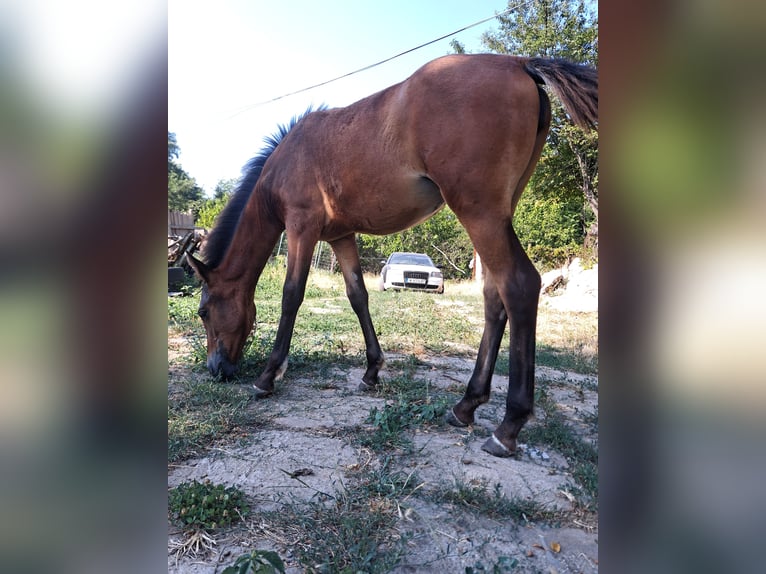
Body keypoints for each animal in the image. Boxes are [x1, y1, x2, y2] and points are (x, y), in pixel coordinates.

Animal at [188, 54, 600, 460]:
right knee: (494, 297)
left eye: (203, 312)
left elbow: (292, 295)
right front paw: (372, 370)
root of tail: (519, 63)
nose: (216, 369)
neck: (286, 159)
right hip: (498, 215)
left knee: (519, 285)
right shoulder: (341, 237)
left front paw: (268, 377)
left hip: (480, 213)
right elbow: (358, 296)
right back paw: (466, 405)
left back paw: (508, 425)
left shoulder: (301, 228)